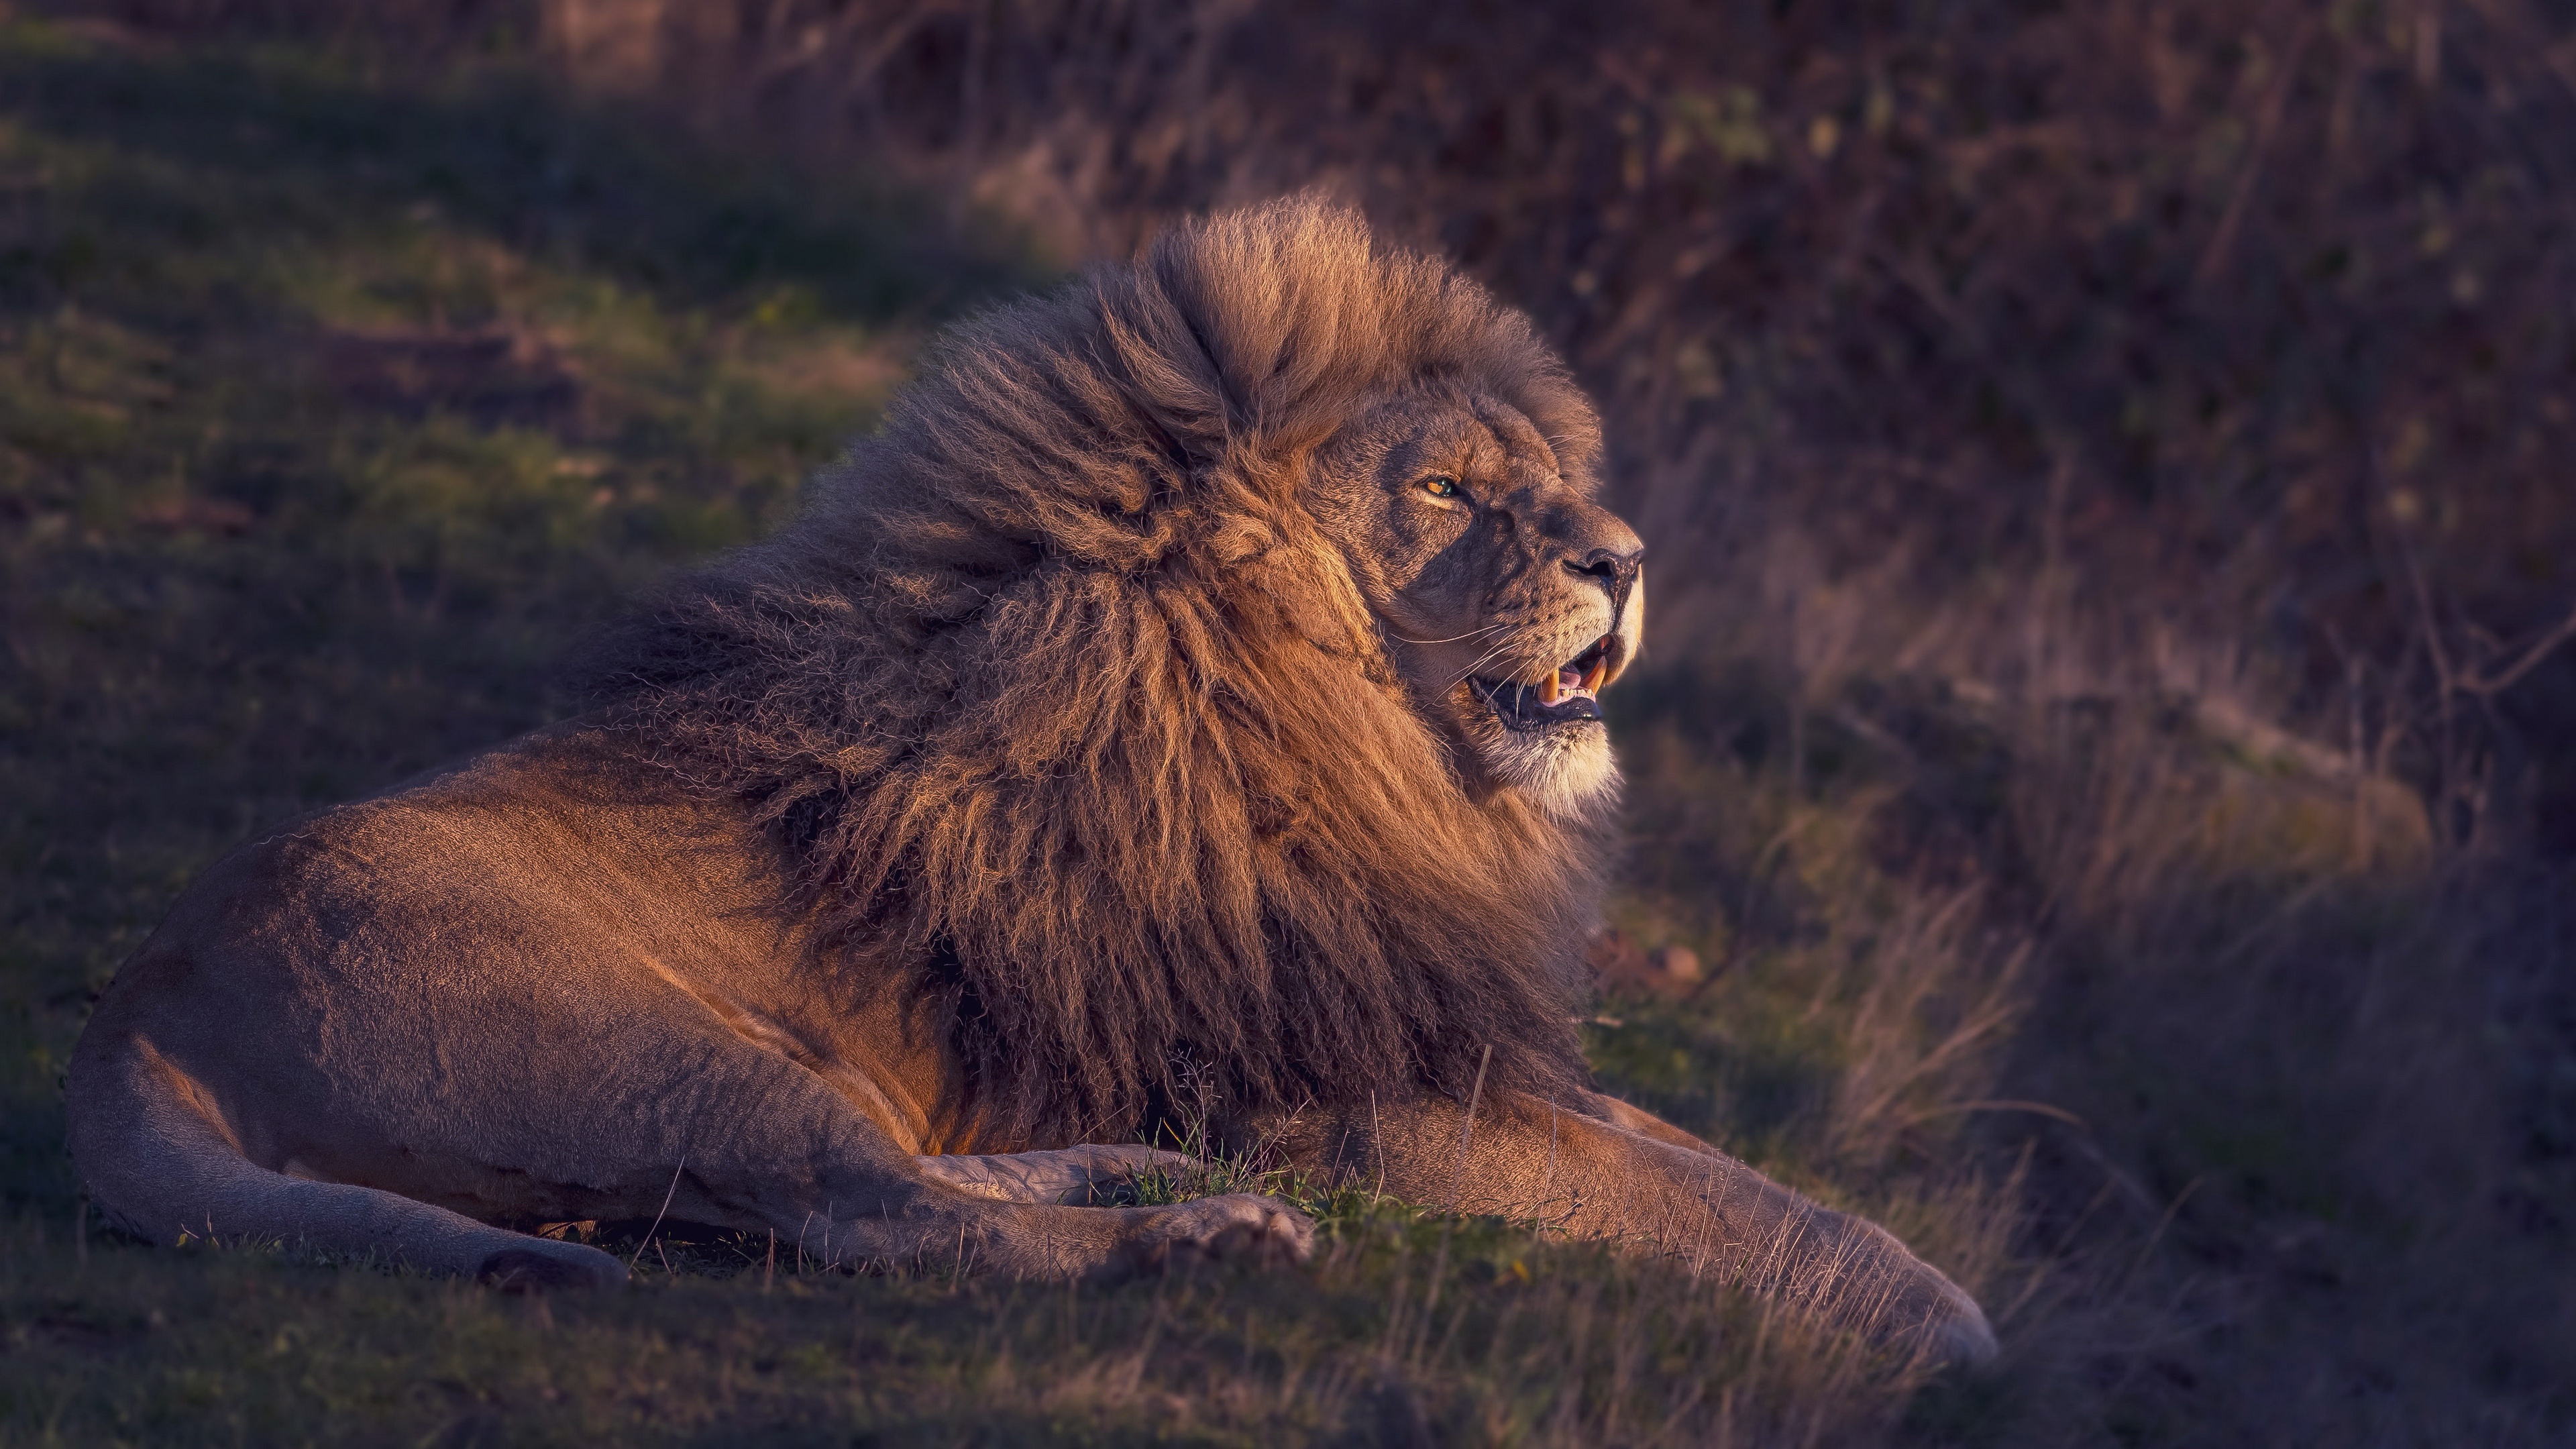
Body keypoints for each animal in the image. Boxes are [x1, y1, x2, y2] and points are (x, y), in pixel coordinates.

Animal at [55, 197, 1988, 1361]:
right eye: (1447, 490)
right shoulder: (1355, 1107)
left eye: (1551, 481)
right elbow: (1741, 1220)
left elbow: (1739, 1180)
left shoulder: (1437, 1044)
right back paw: (1205, 1242)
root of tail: (127, 1014)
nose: (1629, 558)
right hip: (658, 1050)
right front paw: (1964, 1348)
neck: (1348, 748)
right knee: (885, 1226)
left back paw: (1131, 1176)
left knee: (891, 1189)